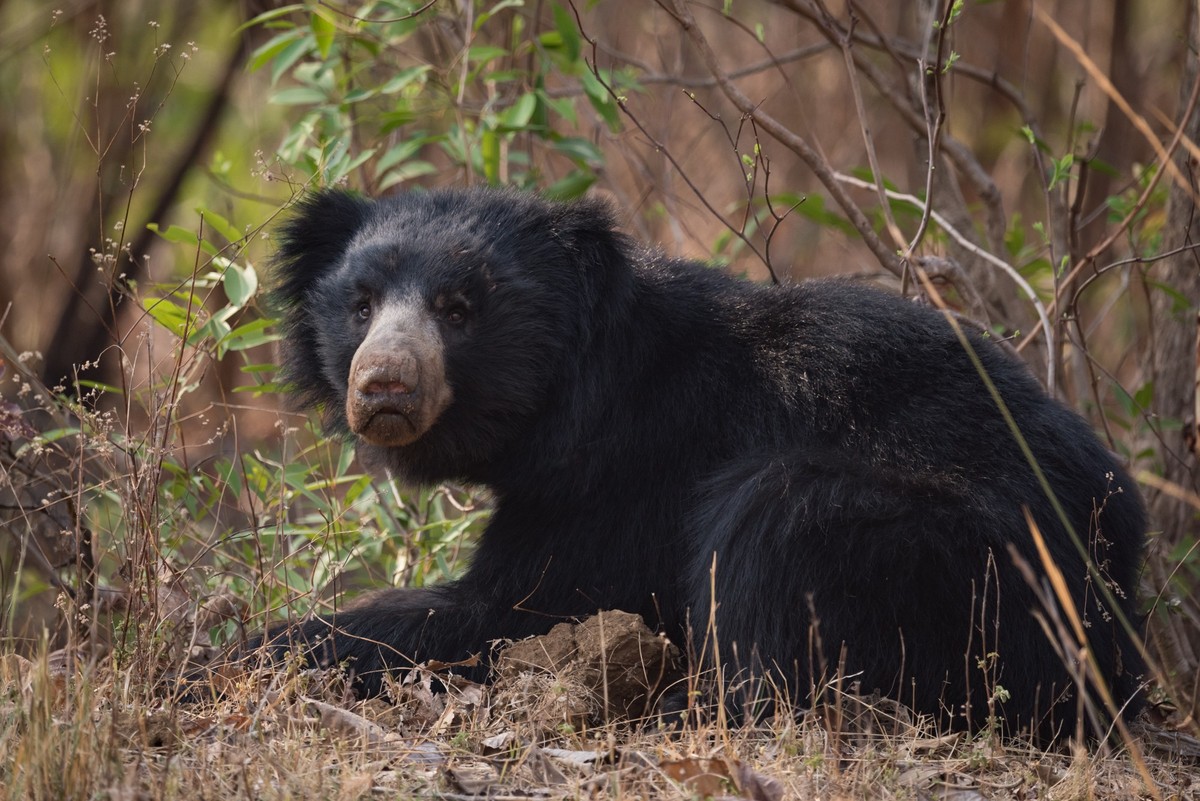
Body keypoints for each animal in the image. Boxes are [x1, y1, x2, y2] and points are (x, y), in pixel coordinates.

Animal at [262, 186, 1145, 740]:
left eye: (458, 309)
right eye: (361, 304)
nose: (384, 384)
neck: (583, 391)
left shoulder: (628, 475)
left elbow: (512, 607)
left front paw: (257, 650)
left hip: (974, 566)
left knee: (775, 521)